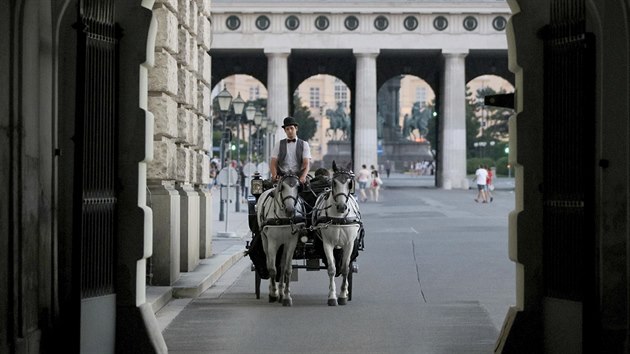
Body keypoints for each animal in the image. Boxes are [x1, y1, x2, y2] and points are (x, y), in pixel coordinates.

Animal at [256, 171, 308, 304]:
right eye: (283, 187)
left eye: (298, 187)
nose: (290, 210)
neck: (283, 217)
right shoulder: (272, 242)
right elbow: (272, 269)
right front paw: (273, 293)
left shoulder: (291, 242)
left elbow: (287, 269)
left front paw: (286, 296)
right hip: (265, 240)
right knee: (269, 262)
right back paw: (274, 291)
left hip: (284, 244)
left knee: (282, 265)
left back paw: (281, 292)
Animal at [314, 162, 362, 306]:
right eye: (334, 183)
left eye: (350, 183)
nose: (342, 207)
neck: (339, 217)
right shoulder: (327, 244)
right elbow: (332, 268)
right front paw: (332, 296)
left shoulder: (349, 244)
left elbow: (346, 268)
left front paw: (342, 295)